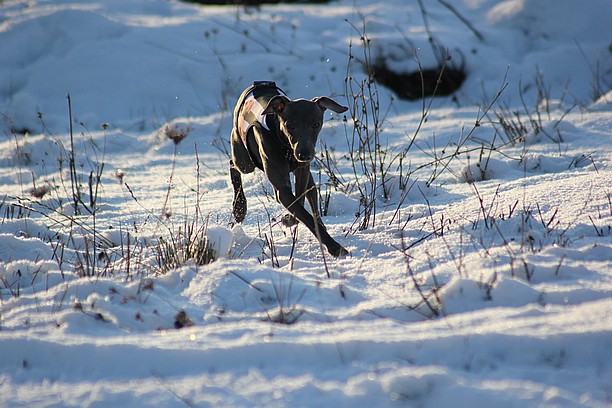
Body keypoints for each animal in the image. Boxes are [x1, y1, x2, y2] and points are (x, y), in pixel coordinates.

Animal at [230, 81, 350, 256]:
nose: (304, 154)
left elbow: (300, 200)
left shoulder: (302, 170)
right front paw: (335, 247)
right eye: (290, 126)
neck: (285, 145)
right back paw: (239, 206)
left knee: (312, 192)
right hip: (245, 159)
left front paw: (289, 219)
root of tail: (260, 84)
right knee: (233, 164)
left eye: (316, 124)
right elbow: (303, 214)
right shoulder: (282, 189)